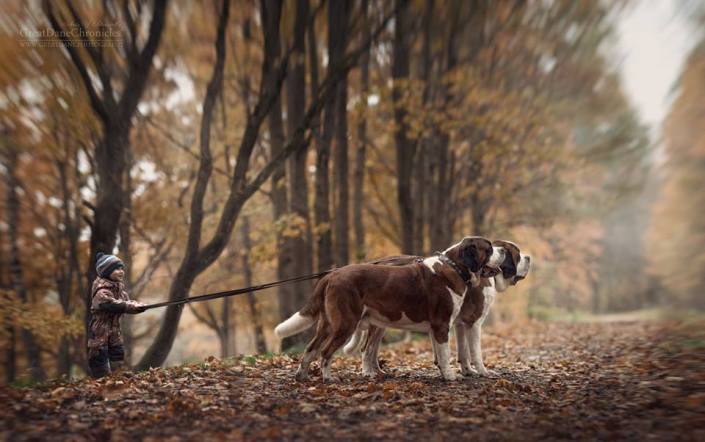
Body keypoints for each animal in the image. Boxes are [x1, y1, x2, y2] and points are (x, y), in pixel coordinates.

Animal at [276, 237, 506, 382]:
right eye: (488, 248)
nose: (502, 249)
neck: (455, 267)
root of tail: (331, 275)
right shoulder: (442, 325)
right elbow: (445, 353)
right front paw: (450, 376)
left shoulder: (437, 327)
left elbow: (440, 355)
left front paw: (444, 373)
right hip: (345, 324)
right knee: (325, 351)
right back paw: (328, 378)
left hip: (327, 324)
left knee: (310, 348)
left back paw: (302, 376)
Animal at [344, 242, 532, 376]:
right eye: (517, 254)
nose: (529, 257)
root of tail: (376, 261)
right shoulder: (473, 323)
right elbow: (475, 351)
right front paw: (482, 372)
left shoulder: (459, 324)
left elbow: (463, 351)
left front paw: (466, 371)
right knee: (367, 348)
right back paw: (369, 372)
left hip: (383, 320)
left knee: (372, 349)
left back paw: (378, 371)